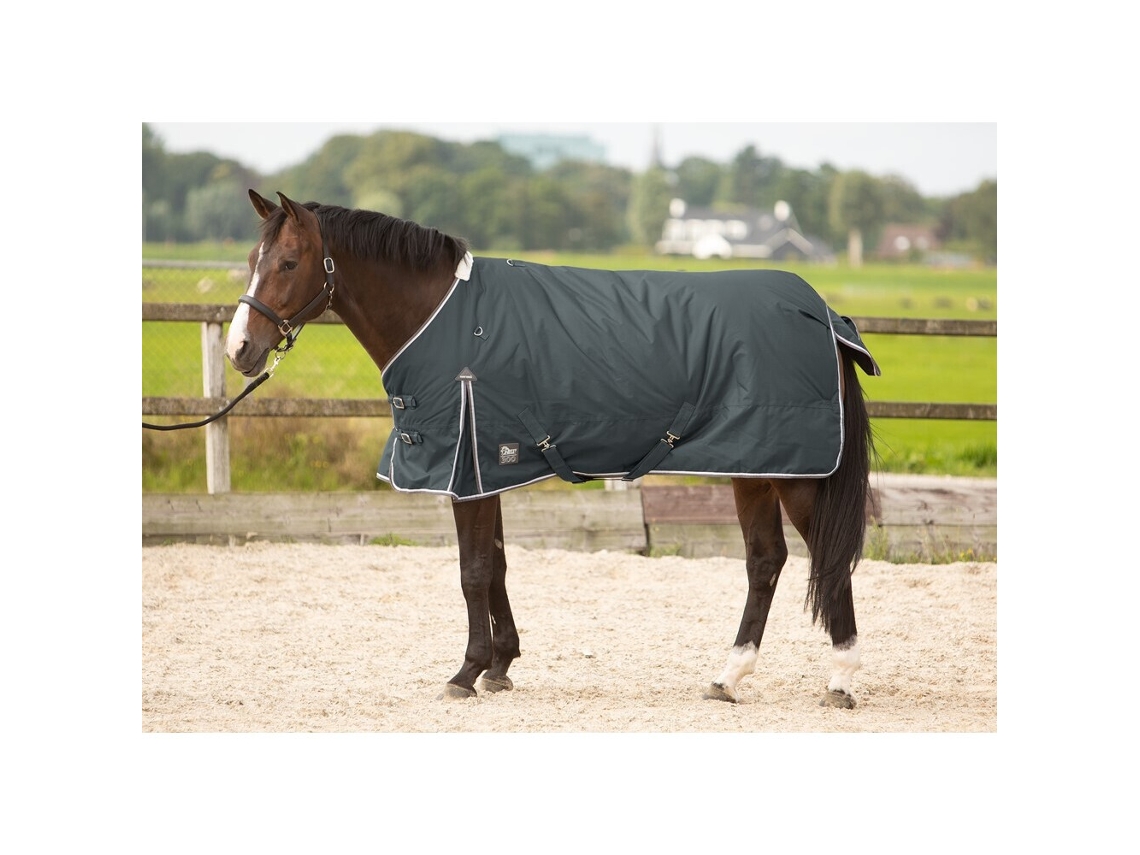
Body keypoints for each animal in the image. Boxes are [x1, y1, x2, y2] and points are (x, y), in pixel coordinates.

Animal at [225, 190, 879, 708]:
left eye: (288, 262)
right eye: (253, 261)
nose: (239, 351)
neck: (443, 318)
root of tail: (820, 312)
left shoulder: (468, 469)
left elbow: (472, 571)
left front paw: (465, 673)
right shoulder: (486, 467)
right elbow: (496, 566)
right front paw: (500, 665)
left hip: (794, 473)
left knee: (826, 557)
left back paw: (841, 680)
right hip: (754, 465)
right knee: (765, 560)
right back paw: (728, 677)